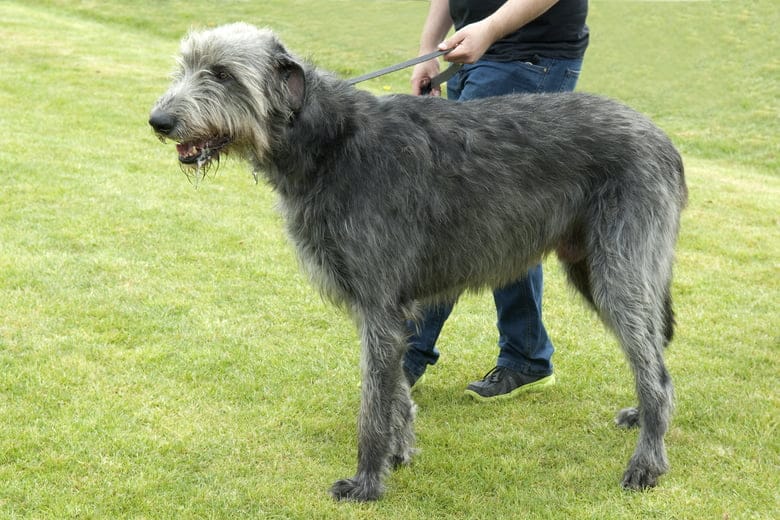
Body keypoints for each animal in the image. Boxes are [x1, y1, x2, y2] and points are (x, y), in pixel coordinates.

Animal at [149, 22, 684, 502]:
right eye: (186, 66)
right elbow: (396, 390)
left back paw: (646, 465)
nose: (158, 121)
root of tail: (666, 141)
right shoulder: (381, 308)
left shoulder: (380, 302)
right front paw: (399, 451)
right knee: (654, 358)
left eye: (221, 74)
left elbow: (373, 404)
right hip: (590, 267)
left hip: (620, 268)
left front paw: (367, 482)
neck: (330, 143)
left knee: (654, 372)